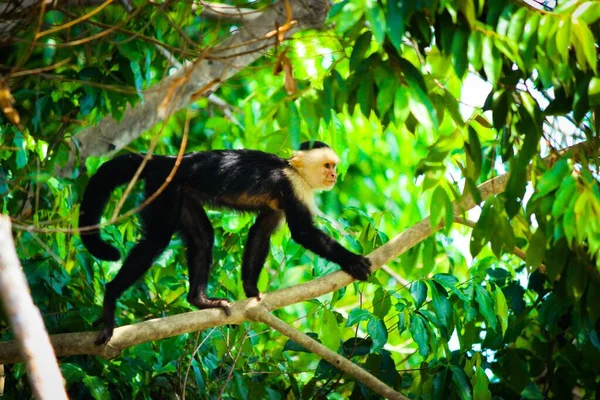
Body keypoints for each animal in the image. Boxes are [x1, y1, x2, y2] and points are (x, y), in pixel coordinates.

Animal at [78, 141, 372, 344]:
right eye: (327, 166)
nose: (334, 176)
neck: (292, 170)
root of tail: (168, 160)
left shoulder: (279, 202)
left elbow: (261, 233)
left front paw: (252, 291)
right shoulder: (293, 187)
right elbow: (303, 233)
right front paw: (353, 260)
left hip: (180, 191)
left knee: (203, 238)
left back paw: (199, 300)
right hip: (162, 185)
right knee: (157, 240)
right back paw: (111, 297)